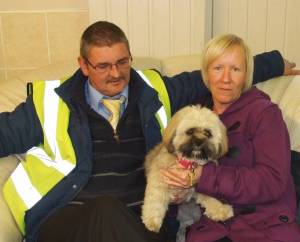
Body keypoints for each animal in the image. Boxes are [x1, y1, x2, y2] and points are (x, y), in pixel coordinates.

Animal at [142, 105, 233, 233]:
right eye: (190, 131)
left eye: (208, 133)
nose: (199, 141)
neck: (188, 164)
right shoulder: (159, 179)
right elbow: (155, 200)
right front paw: (152, 220)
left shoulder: (199, 184)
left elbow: (210, 197)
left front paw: (221, 210)